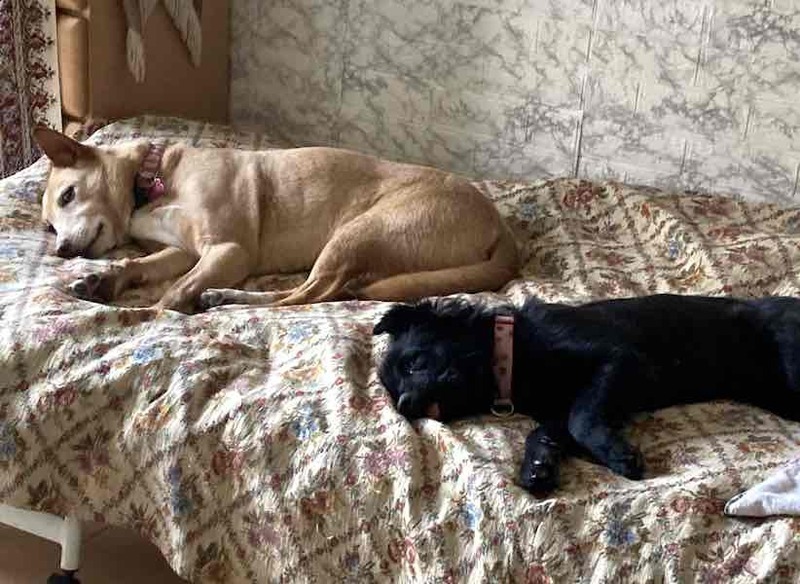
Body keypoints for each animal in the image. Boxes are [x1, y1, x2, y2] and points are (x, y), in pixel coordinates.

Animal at [33, 127, 519, 312]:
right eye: (50, 227)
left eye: (69, 195)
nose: (62, 251)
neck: (152, 179)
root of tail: (499, 224)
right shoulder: (181, 251)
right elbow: (140, 265)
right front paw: (106, 280)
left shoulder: (228, 251)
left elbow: (173, 292)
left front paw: (148, 316)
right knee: (314, 294)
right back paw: (224, 297)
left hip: (355, 233)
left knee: (306, 296)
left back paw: (226, 299)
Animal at [374, 294, 800, 495]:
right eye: (393, 391)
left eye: (412, 363)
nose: (406, 406)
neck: (513, 352)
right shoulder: (557, 411)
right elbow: (543, 433)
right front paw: (537, 467)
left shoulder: (617, 361)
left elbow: (582, 420)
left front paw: (619, 455)